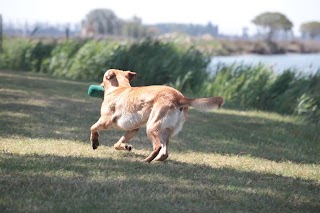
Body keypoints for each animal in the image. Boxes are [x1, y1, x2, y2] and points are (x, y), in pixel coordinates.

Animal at [90, 69, 224, 162]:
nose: (98, 84)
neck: (119, 88)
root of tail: (180, 97)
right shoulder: (133, 128)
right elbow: (117, 144)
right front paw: (126, 146)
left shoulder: (105, 121)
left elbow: (92, 128)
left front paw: (94, 142)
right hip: (164, 130)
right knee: (165, 153)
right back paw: (156, 160)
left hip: (151, 127)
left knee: (158, 146)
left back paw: (146, 161)